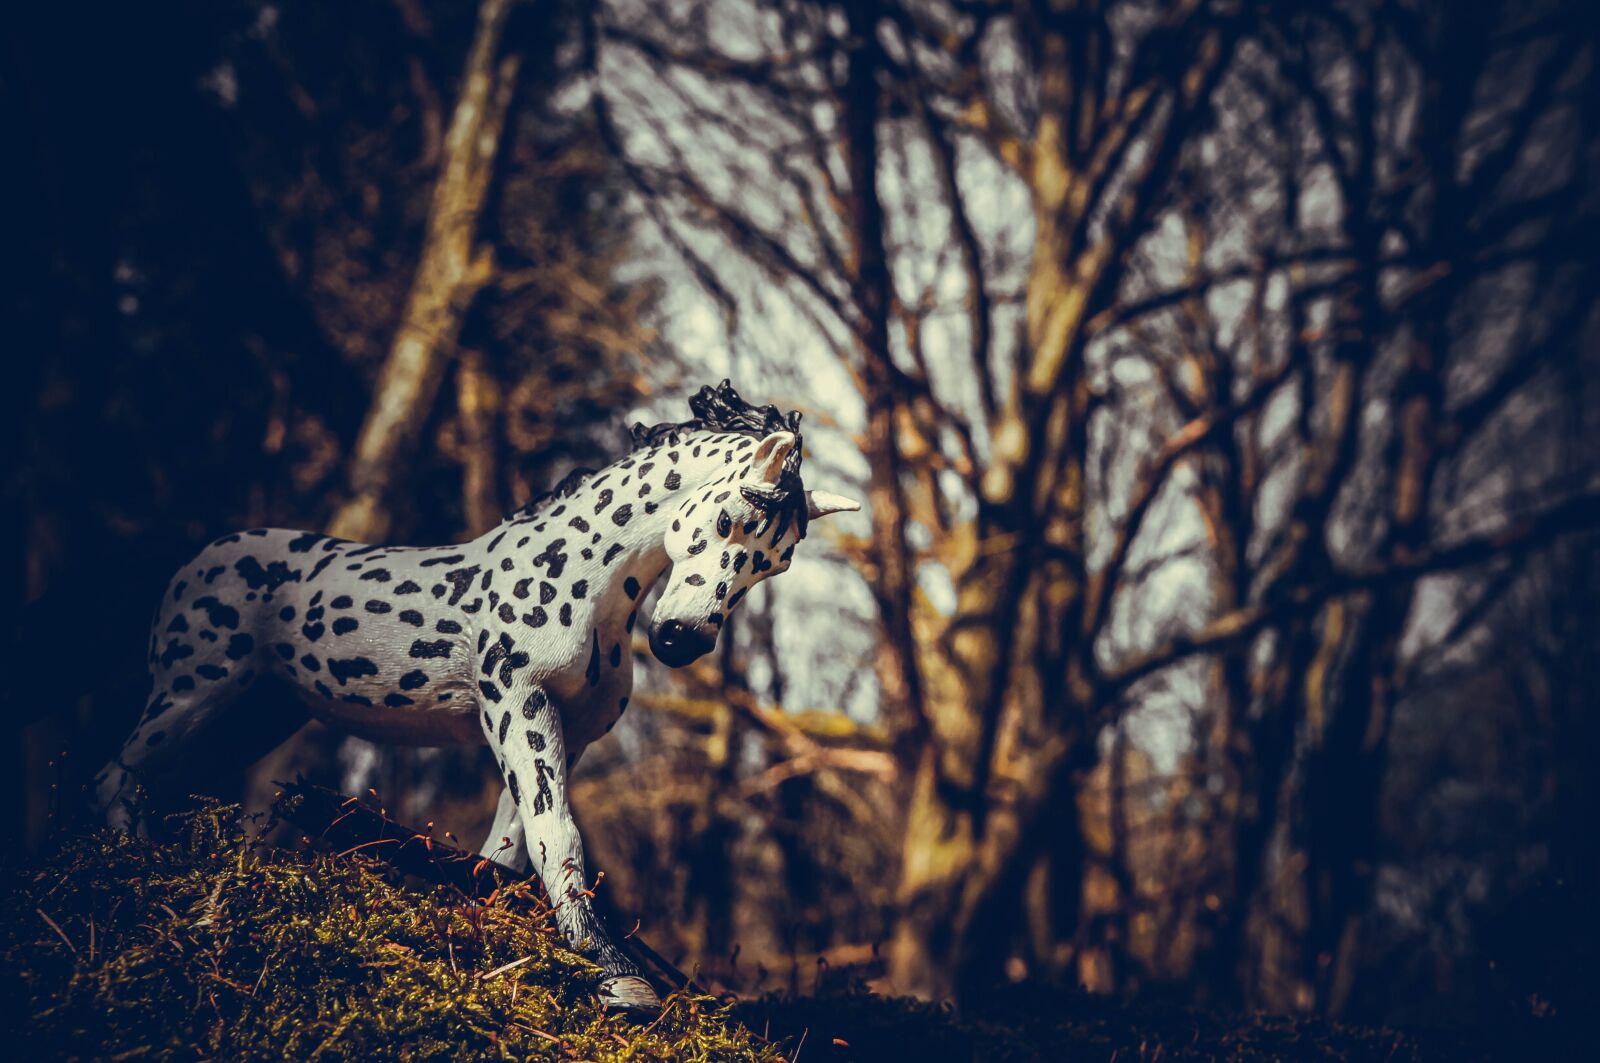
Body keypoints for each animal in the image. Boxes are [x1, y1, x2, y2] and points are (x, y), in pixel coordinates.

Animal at [89, 382, 864, 1011]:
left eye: (776, 563)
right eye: (731, 516)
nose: (680, 640)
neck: (586, 582)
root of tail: (193, 564)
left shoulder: (568, 730)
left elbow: (509, 851)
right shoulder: (516, 702)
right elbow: (558, 835)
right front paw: (616, 974)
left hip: (256, 713)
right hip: (195, 688)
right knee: (119, 772)